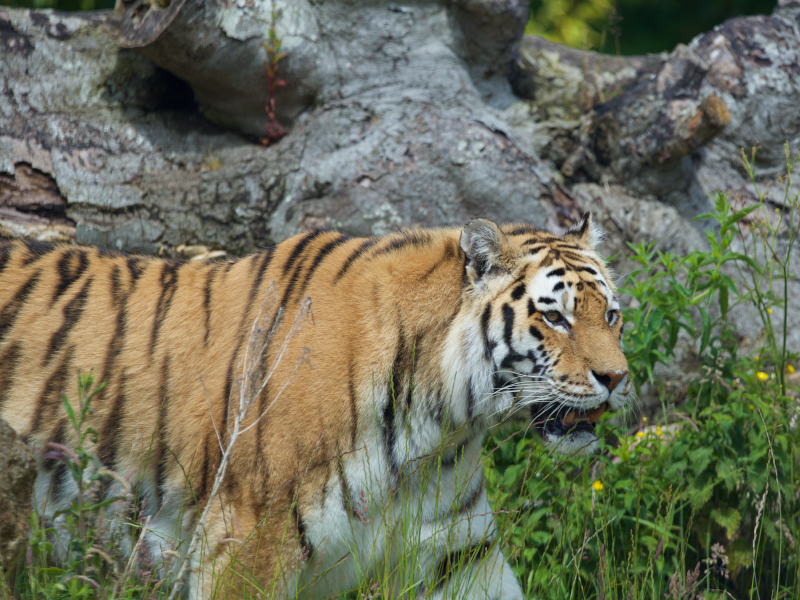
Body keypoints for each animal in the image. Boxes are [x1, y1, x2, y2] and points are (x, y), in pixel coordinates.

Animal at [0, 216, 628, 600]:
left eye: (611, 315)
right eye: (555, 317)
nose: (617, 378)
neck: (441, 428)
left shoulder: (458, 552)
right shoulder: (246, 542)